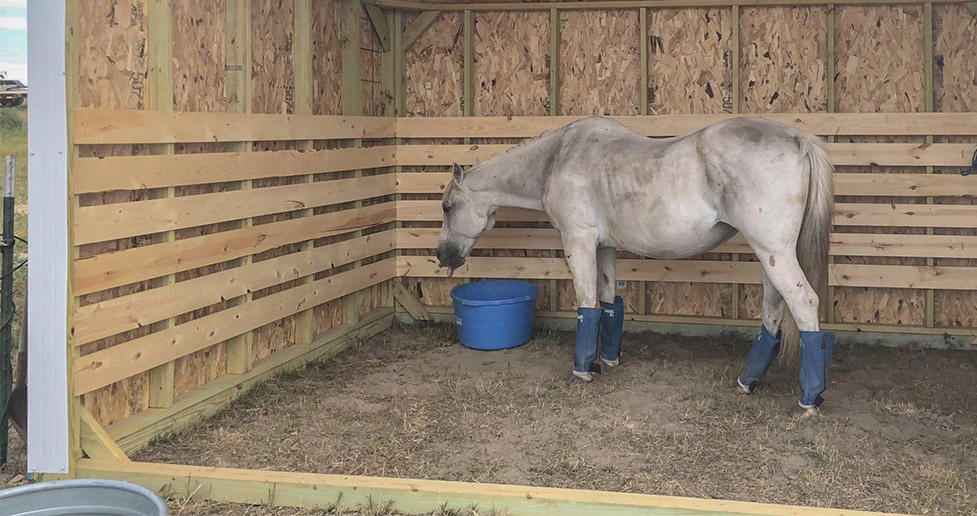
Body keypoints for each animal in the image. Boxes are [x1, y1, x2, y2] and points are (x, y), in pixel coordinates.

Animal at [438, 116, 836, 416]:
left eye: (446, 206)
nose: (443, 255)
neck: (557, 158)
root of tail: (796, 137)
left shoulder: (578, 241)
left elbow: (586, 303)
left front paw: (582, 371)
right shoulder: (604, 247)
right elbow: (608, 302)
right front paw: (604, 362)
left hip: (773, 251)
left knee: (804, 304)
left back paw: (808, 401)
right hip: (770, 255)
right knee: (773, 310)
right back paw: (747, 382)